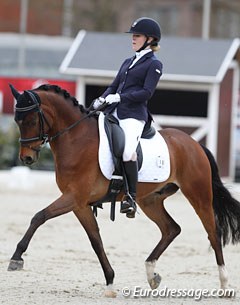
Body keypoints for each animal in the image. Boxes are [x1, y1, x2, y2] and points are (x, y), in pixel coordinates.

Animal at [8, 82, 240, 294]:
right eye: (17, 120)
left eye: (30, 120)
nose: (26, 158)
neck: (76, 139)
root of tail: (194, 144)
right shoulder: (79, 204)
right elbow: (95, 240)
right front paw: (110, 282)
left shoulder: (74, 197)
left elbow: (39, 216)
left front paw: (16, 258)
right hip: (150, 201)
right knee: (171, 229)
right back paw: (152, 274)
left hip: (199, 195)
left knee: (213, 233)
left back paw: (224, 284)